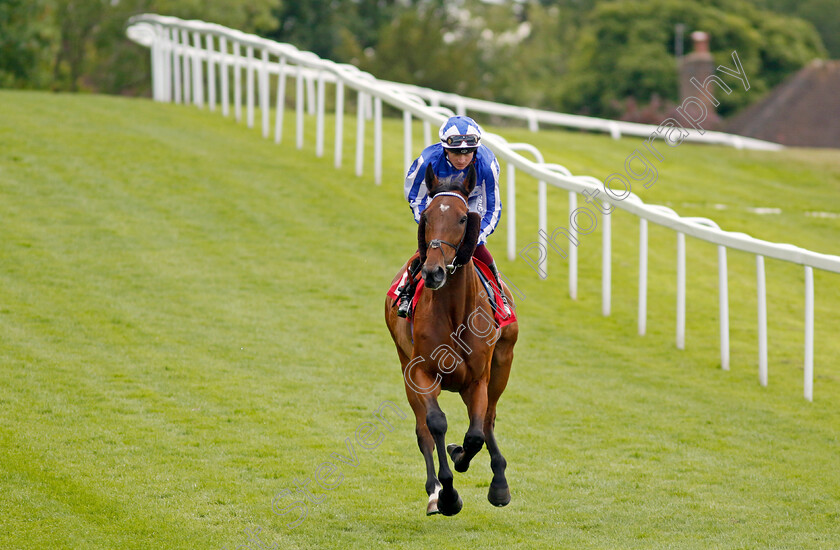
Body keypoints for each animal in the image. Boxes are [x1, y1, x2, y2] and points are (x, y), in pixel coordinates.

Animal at [388, 164, 520, 516]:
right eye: (427, 216)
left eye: (463, 218)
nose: (433, 272)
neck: (455, 313)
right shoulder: (421, 371)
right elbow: (435, 424)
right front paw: (447, 495)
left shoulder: (478, 378)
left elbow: (475, 434)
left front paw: (463, 456)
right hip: (405, 367)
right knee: (423, 430)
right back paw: (434, 492)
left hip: (502, 365)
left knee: (488, 420)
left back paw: (499, 482)